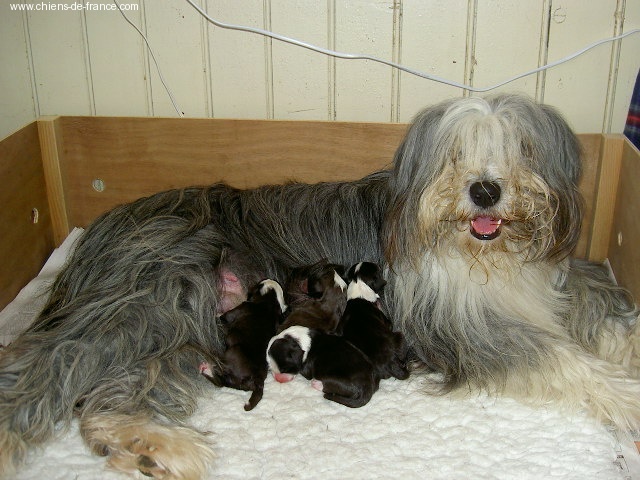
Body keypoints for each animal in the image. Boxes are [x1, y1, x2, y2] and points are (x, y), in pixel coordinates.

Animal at [202, 280, 284, 410]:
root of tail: (258, 380)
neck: (268, 303)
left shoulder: (229, 315)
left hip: (232, 351)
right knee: (222, 382)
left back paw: (206, 367)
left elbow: (220, 317)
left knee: (220, 377)